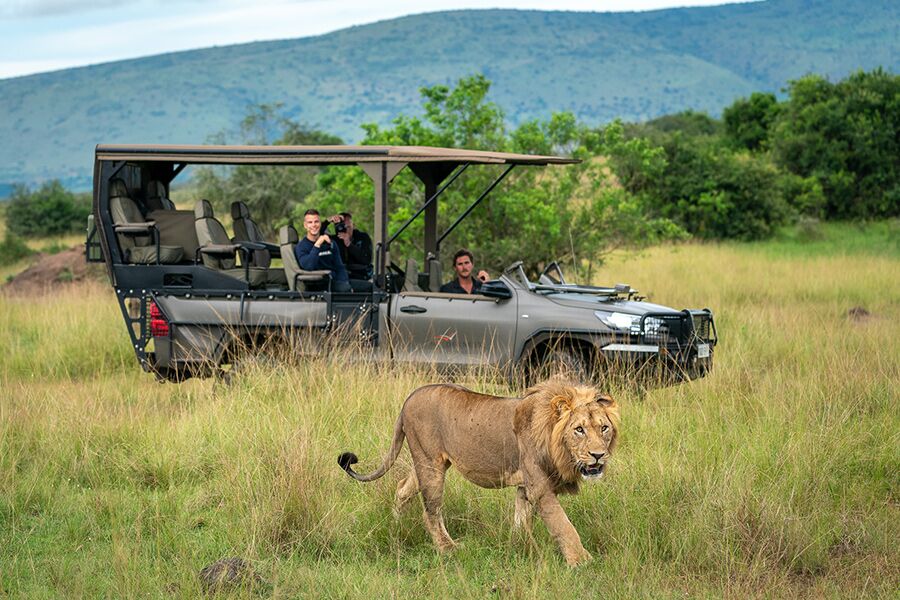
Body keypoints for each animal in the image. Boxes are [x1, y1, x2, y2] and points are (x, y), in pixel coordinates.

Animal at [337, 379, 620, 566]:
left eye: (604, 428)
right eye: (579, 430)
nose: (598, 455)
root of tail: (410, 396)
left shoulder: (524, 486)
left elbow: (521, 520)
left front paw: (520, 547)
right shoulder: (540, 487)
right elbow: (563, 525)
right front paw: (582, 561)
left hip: (427, 463)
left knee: (403, 488)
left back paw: (397, 524)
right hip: (430, 465)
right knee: (431, 511)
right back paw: (448, 549)